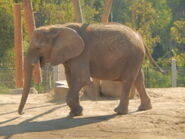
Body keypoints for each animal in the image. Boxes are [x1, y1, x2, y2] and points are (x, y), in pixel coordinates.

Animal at [17, 22, 162, 116]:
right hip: (135, 57)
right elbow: (70, 79)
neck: (58, 27)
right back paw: (144, 108)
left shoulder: (82, 54)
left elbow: (81, 79)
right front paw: (75, 113)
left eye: (39, 48)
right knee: (138, 79)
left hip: (132, 56)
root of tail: (140, 37)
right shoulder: (70, 56)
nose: (22, 113)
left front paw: (77, 113)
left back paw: (119, 112)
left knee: (128, 80)